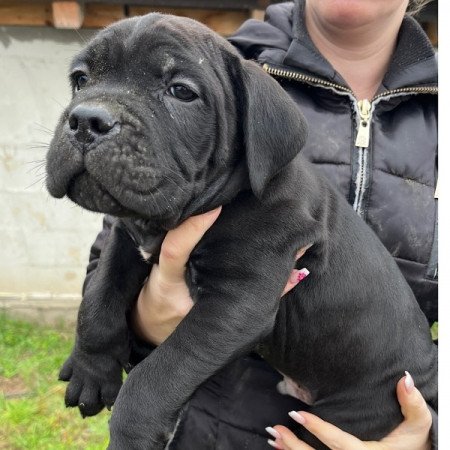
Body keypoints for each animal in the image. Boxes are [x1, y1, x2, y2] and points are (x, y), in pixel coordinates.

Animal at [44, 13, 436, 450]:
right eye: (81, 79)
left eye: (181, 92)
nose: (86, 119)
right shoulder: (129, 240)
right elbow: (98, 297)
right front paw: (91, 371)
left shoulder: (236, 304)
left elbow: (162, 371)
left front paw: (132, 430)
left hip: (357, 411)